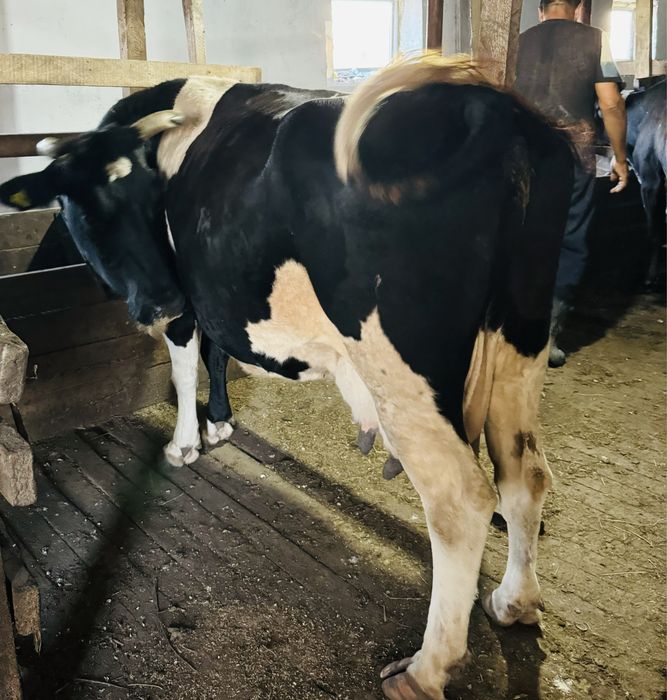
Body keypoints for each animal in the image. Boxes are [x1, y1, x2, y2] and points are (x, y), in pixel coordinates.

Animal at [0, 55, 574, 699]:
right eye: (90, 207)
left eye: (149, 198)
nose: (158, 299)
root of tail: (497, 109)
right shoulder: (209, 292)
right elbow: (216, 352)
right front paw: (220, 424)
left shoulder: (190, 297)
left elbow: (187, 359)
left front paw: (184, 444)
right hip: (520, 339)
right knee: (525, 474)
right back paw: (514, 602)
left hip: (402, 368)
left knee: (461, 500)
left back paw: (423, 671)